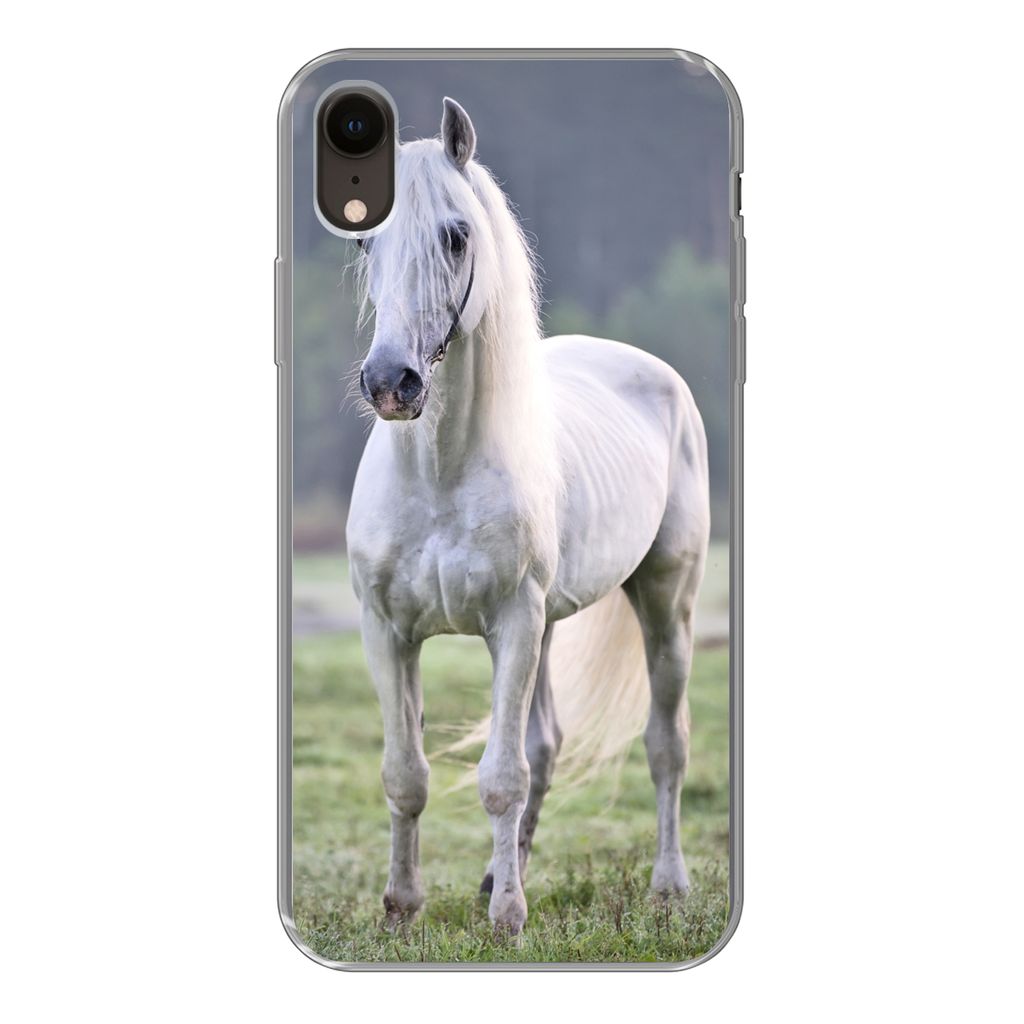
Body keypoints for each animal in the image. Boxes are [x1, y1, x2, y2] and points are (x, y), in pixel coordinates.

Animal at [346, 98, 710, 934]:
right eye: (366, 239)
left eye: (457, 235)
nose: (389, 383)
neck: (438, 475)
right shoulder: (389, 630)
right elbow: (406, 773)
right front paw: (402, 906)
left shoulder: (512, 622)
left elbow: (501, 778)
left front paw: (508, 918)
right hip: (546, 627)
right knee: (545, 744)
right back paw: (494, 875)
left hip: (662, 603)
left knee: (664, 746)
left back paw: (667, 886)